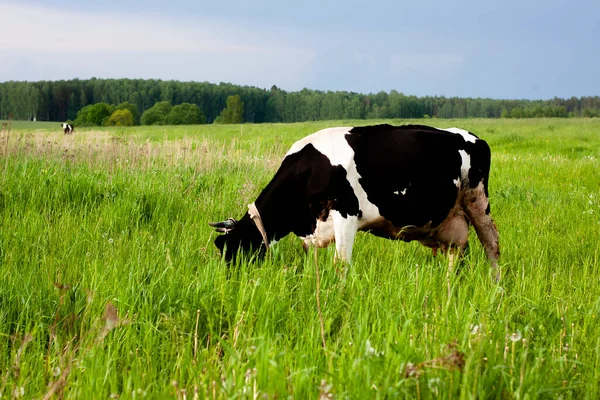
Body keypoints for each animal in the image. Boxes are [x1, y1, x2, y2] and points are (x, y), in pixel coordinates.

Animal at [209, 124, 500, 278]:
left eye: (232, 251)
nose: (229, 280)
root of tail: (473, 136)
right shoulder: (313, 231)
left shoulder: (346, 215)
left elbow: (341, 264)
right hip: (453, 219)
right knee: (457, 251)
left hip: (477, 201)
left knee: (491, 244)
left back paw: (495, 284)